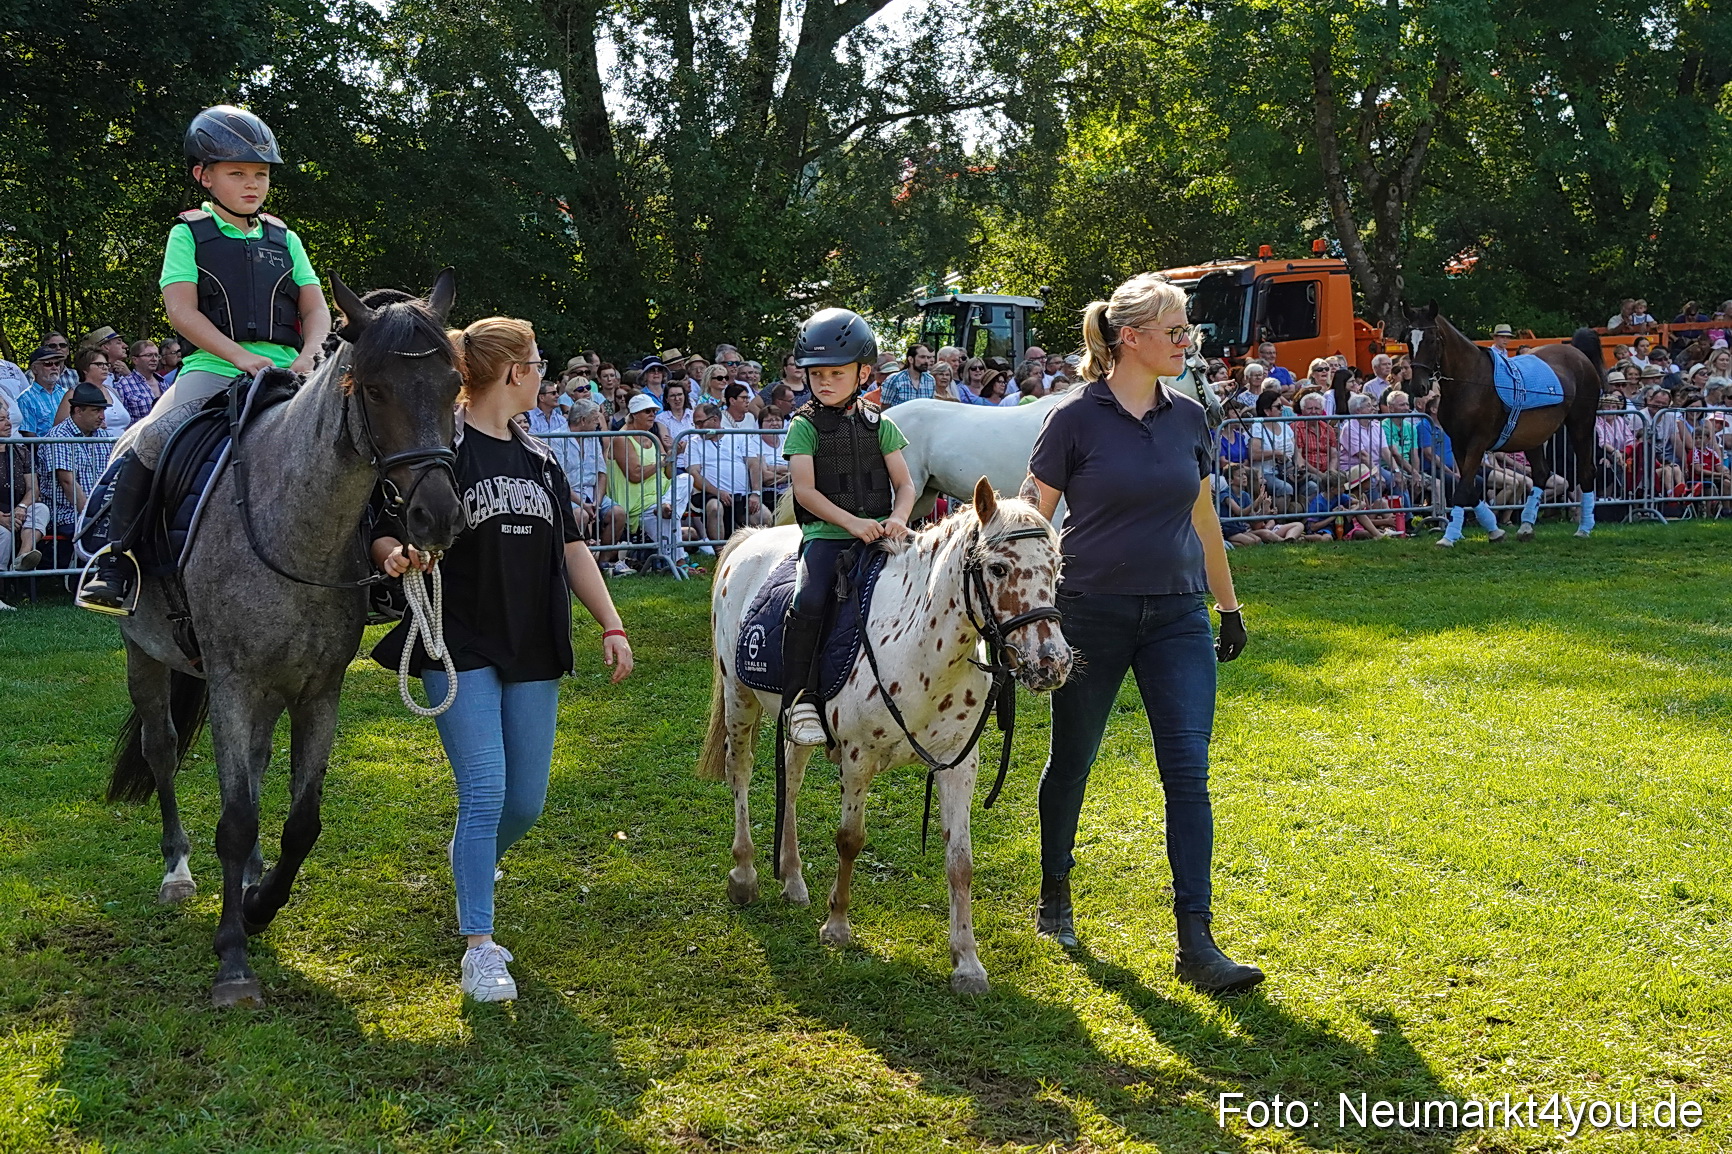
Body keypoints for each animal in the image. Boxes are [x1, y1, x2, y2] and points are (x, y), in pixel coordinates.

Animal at [103, 271, 465, 1007]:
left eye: (452, 386)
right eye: (374, 389)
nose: (436, 516)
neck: (294, 523)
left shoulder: (318, 690)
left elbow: (301, 820)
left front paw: (261, 905)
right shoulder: (234, 685)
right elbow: (236, 818)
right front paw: (233, 959)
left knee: (255, 765)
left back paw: (248, 878)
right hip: (144, 656)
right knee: (162, 750)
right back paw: (178, 871)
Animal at [698, 479, 1072, 993]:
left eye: (1056, 566)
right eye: (998, 568)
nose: (1052, 662)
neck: (920, 649)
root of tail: (749, 539)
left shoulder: (959, 765)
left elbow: (961, 862)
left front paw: (967, 963)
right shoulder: (858, 758)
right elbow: (849, 839)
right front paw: (837, 926)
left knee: (790, 779)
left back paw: (792, 879)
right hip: (739, 699)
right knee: (741, 774)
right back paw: (745, 874)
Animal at [1405, 304, 1604, 544]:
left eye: (1433, 339)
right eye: (1409, 340)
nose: (1418, 387)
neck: (1470, 382)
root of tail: (1578, 355)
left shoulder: (1478, 442)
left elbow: (1463, 490)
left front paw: (1449, 537)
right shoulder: (1460, 443)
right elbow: (1469, 489)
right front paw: (1494, 530)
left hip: (1581, 425)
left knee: (1586, 471)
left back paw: (1584, 527)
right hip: (1533, 436)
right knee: (1541, 473)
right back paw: (1526, 526)